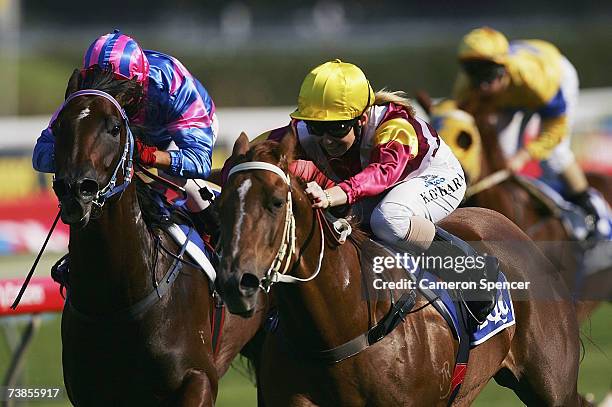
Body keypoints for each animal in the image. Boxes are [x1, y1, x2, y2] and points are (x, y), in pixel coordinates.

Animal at [52, 68, 262, 406]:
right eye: (58, 126)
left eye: (114, 128)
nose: (75, 190)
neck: (118, 297)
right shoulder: (89, 392)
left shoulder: (199, 379)